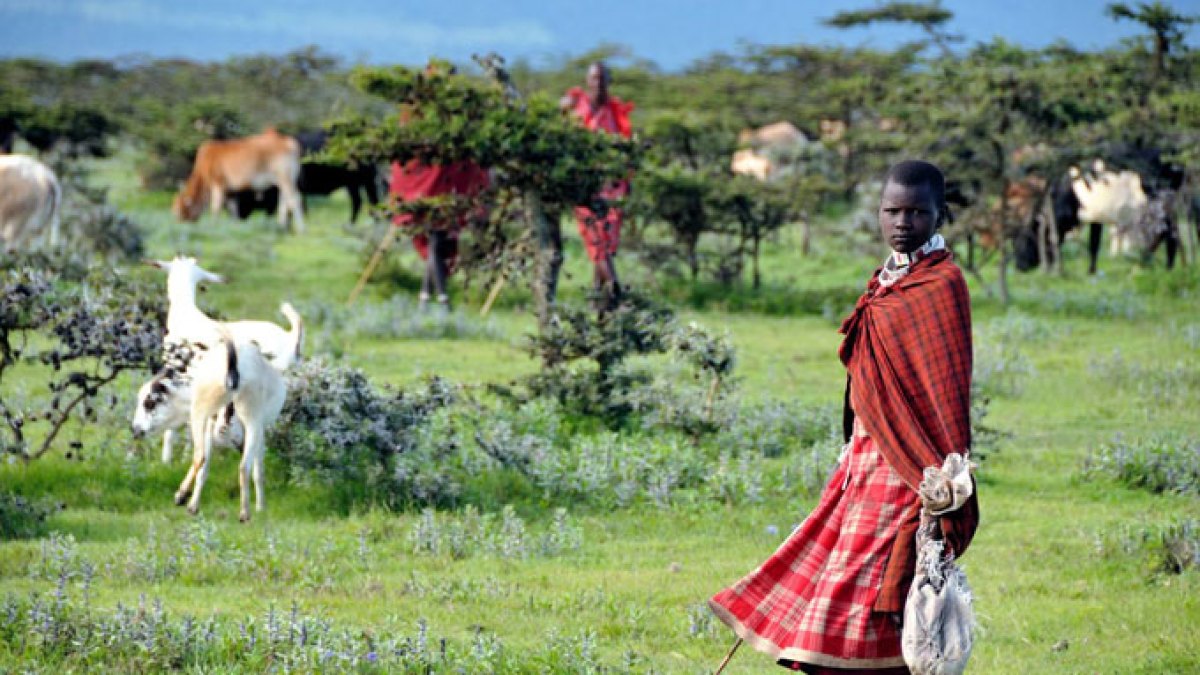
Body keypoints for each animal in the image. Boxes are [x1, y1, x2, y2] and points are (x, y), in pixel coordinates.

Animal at [171, 326, 285, 521]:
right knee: (243, 466)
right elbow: (259, 470)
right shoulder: (260, 431)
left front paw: (191, 504)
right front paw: (261, 507)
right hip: (251, 422)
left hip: (202, 415)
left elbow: (205, 468)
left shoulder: (211, 427)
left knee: (202, 457)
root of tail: (233, 363)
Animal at [174, 127, 304, 233]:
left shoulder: (218, 185)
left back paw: (302, 229)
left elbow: (215, 208)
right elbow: (233, 210)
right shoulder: (230, 192)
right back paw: (281, 227)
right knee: (284, 203)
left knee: (294, 199)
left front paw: (213, 226)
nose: (180, 227)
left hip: (285, 179)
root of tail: (287, 141)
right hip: (282, 182)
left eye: (180, 211)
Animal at [224, 129, 374, 225]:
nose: (237, 218)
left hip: (358, 182)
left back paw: (352, 223)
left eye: (242, 195)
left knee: (362, 201)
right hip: (356, 183)